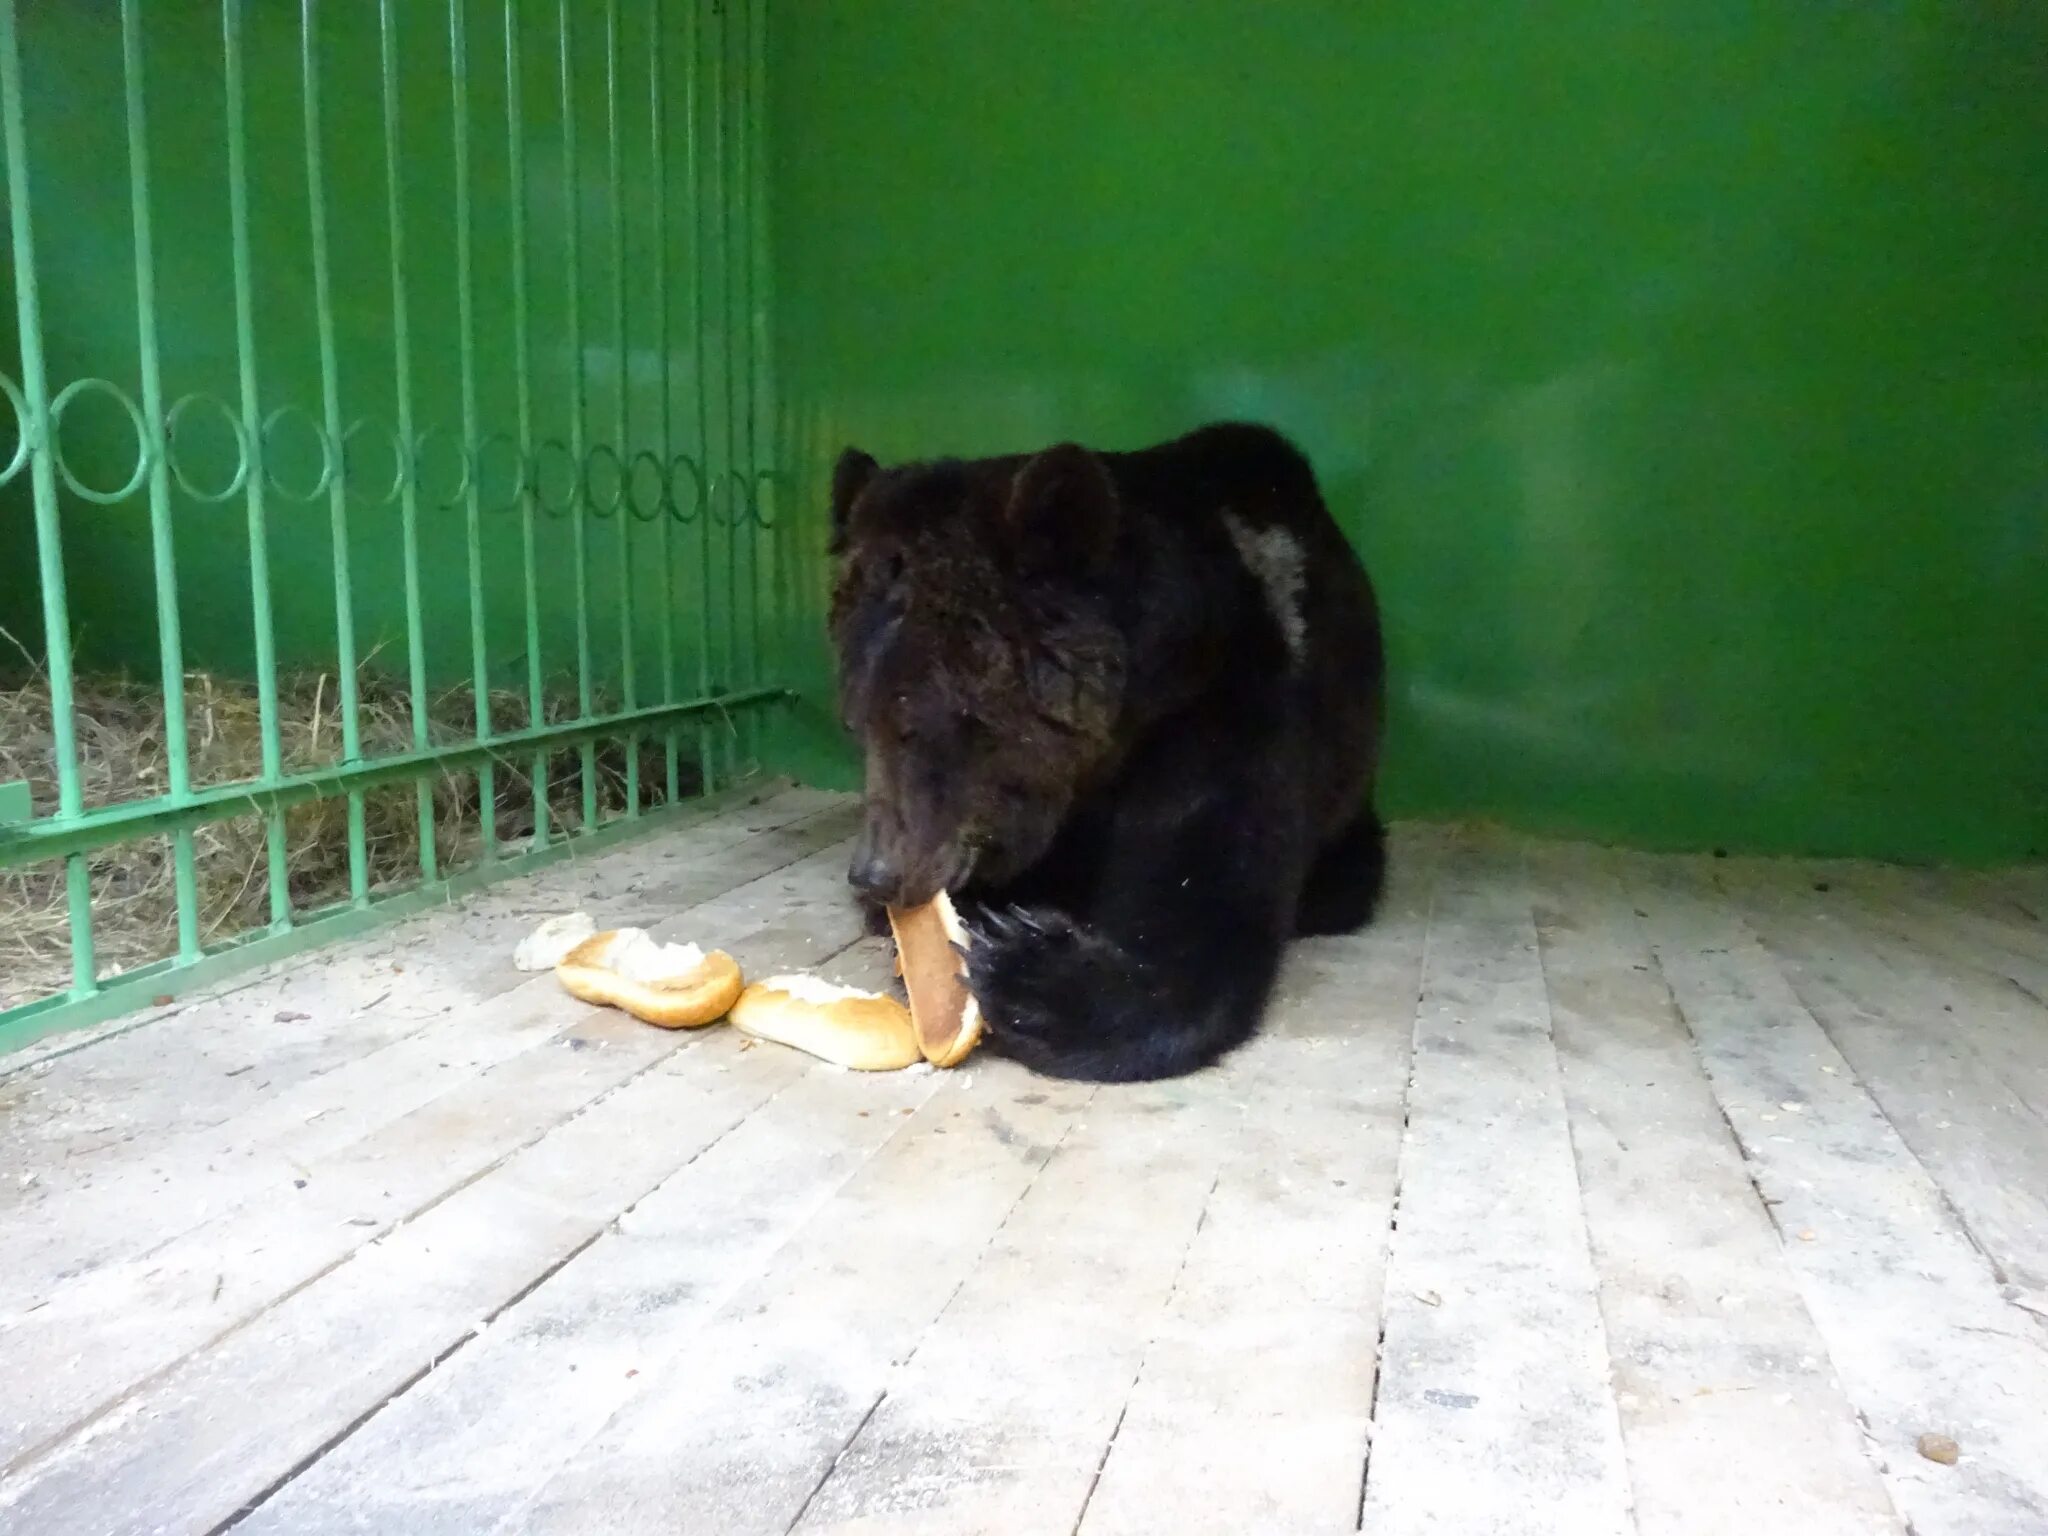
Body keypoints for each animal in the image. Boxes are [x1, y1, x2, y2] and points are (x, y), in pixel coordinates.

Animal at [823, 423, 1384, 1081]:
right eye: (858, 722)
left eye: (922, 721)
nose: (875, 873)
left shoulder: (1228, 718)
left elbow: (1200, 901)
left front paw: (1025, 967)